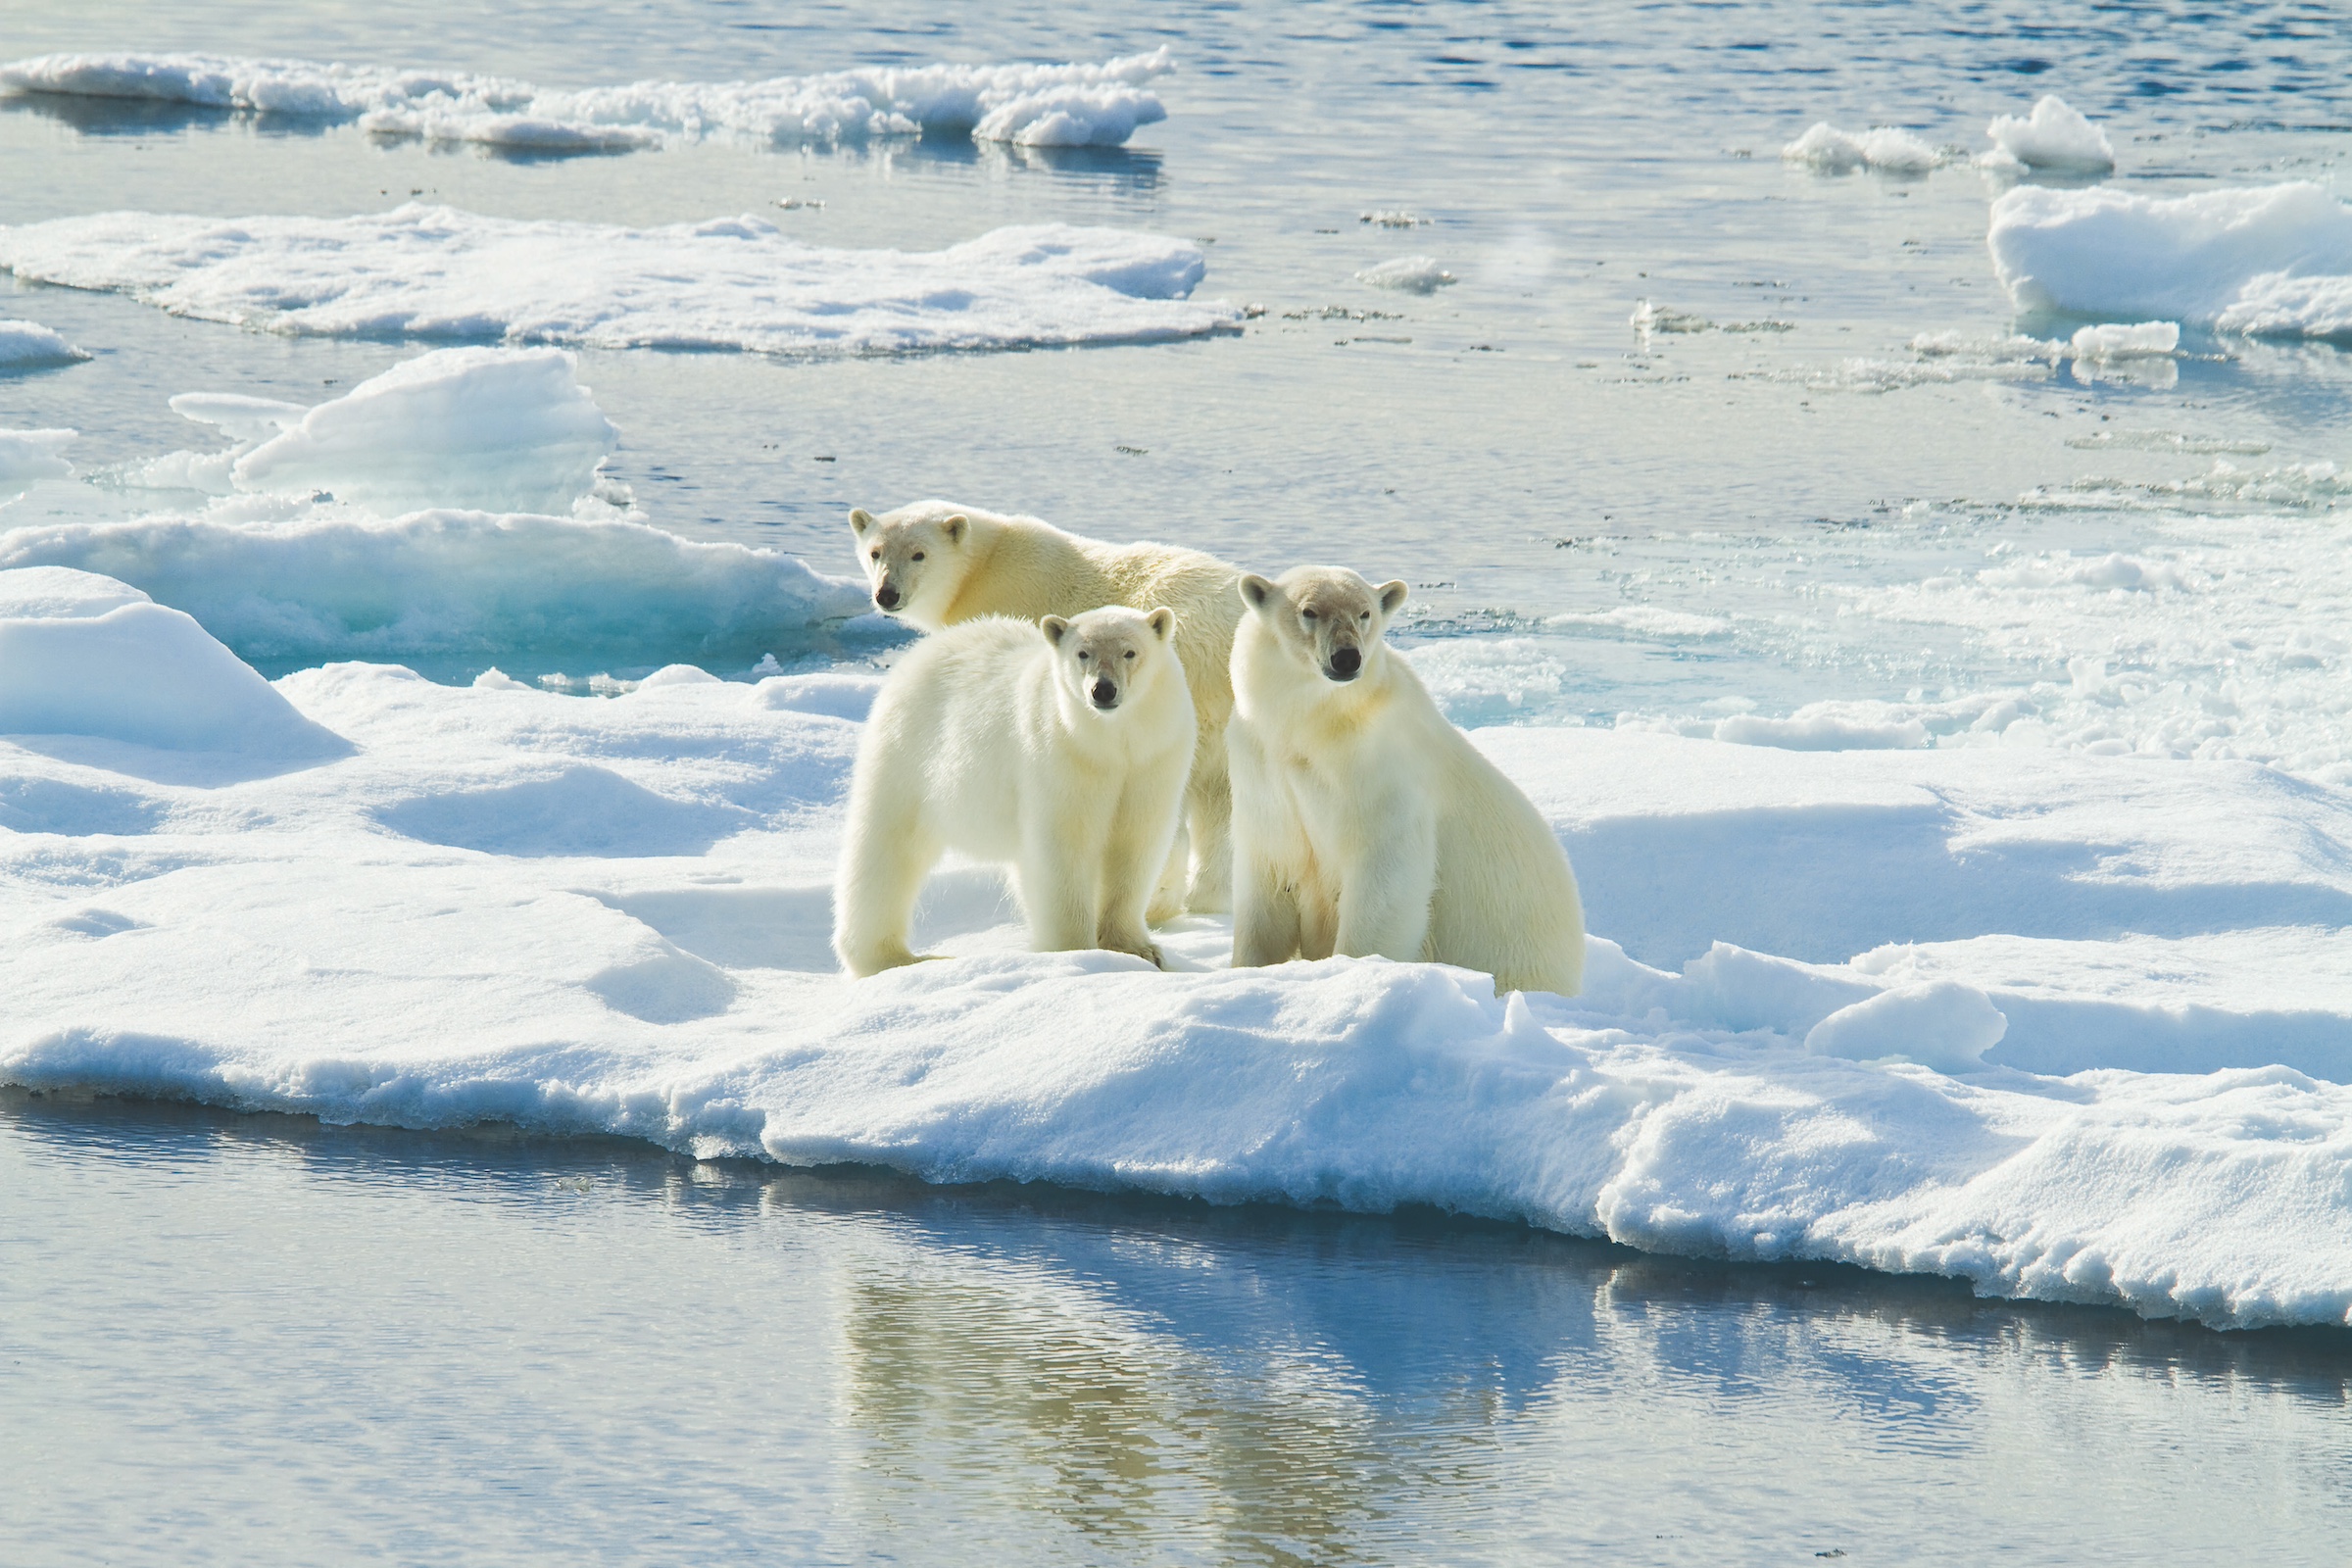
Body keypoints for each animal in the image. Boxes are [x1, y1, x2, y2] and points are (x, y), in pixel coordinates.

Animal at [832, 604, 1196, 979]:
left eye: (1129, 652)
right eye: (1083, 653)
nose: (1103, 690)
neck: (1110, 742)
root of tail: (922, 651)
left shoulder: (1153, 758)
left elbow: (1136, 842)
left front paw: (1140, 950)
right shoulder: (1062, 755)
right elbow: (1066, 846)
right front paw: (1078, 952)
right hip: (907, 755)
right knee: (885, 848)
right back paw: (891, 957)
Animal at [847, 499, 1242, 918]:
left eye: (919, 554)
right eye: (875, 552)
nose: (886, 594)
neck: (982, 567)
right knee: (1222, 802)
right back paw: (1205, 898)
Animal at [1224, 565, 1586, 996]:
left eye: (1365, 613)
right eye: (1309, 611)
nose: (1347, 657)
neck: (1314, 725)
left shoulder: (1377, 772)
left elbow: (1386, 879)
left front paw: (1353, 969)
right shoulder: (1261, 769)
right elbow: (1269, 875)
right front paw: (1247, 970)